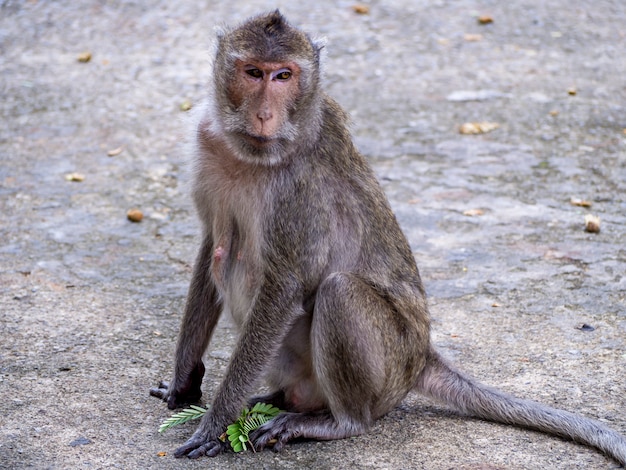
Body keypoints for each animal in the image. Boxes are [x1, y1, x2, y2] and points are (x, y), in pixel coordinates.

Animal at [150, 9, 624, 464]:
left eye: (284, 75)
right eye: (253, 72)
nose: (265, 114)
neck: (250, 155)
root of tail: (422, 357)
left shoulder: (297, 189)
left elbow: (284, 284)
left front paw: (215, 423)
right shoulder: (207, 142)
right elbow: (210, 244)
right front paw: (184, 380)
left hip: (390, 366)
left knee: (339, 292)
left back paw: (336, 422)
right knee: (228, 256)